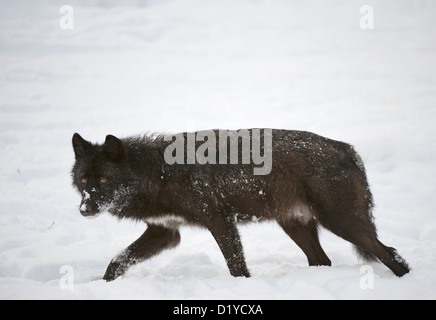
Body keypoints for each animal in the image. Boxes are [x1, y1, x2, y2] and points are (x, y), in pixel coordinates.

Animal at [70, 129, 408, 282]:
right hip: (296, 226)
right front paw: (102, 285)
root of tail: (348, 149)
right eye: (84, 181)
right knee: (322, 261)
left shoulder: (220, 220)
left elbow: (236, 265)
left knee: (391, 255)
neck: (159, 173)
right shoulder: (164, 233)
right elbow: (117, 261)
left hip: (342, 223)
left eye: (103, 179)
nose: (84, 210)